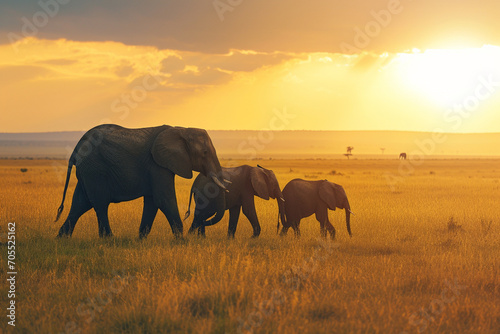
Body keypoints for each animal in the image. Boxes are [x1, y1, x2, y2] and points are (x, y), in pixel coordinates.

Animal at [54, 124, 227, 239]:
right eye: (205, 152)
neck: (182, 129)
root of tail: (77, 147)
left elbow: (152, 202)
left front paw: (141, 240)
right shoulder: (157, 165)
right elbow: (164, 199)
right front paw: (182, 242)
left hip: (88, 172)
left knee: (80, 204)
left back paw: (61, 239)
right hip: (95, 171)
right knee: (100, 204)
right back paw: (109, 240)